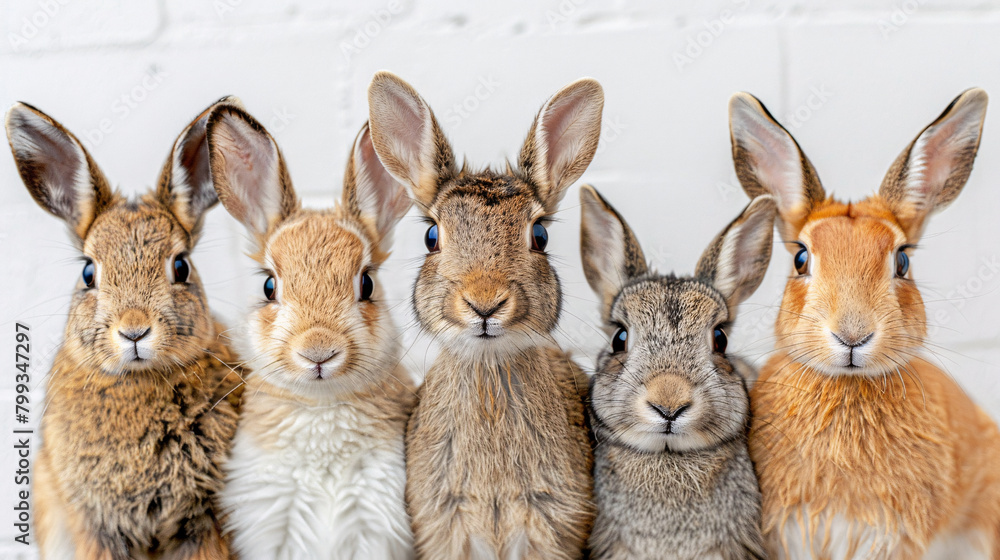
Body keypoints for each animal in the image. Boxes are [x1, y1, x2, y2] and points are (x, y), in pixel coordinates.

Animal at [6, 99, 245, 560]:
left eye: (181, 266)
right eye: (88, 272)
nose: (134, 332)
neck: (138, 379)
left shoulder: (207, 523)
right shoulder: (95, 526)